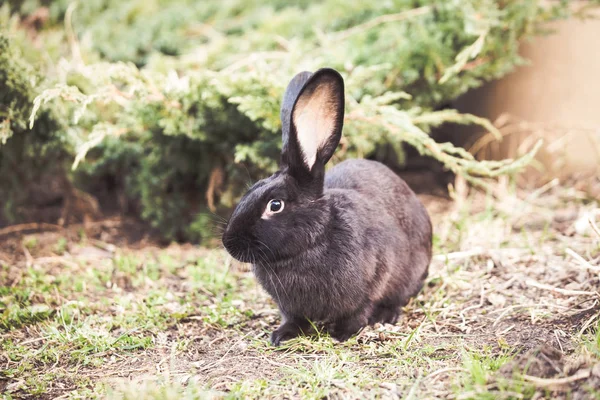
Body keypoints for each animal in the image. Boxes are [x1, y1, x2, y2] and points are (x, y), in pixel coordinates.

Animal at [220, 67, 432, 346]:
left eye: (275, 205)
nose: (228, 243)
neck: (311, 244)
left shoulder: (373, 280)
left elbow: (360, 310)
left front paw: (343, 333)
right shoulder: (290, 307)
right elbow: (293, 318)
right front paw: (282, 335)